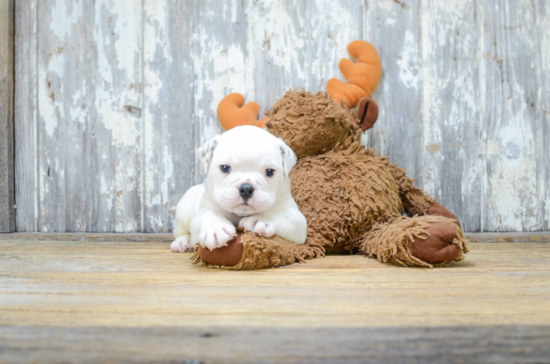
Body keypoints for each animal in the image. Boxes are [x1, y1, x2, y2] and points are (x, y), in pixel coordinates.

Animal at [170, 125, 308, 253]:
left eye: (269, 171)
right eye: (225, 167)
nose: (246, 189)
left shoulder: (297, 220)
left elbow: (279, 214)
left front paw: (260, 219)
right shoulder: (204, 210)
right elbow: (209, 214)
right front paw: (216, 229)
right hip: (183, 213)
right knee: (180, 230)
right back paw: (181, 242)